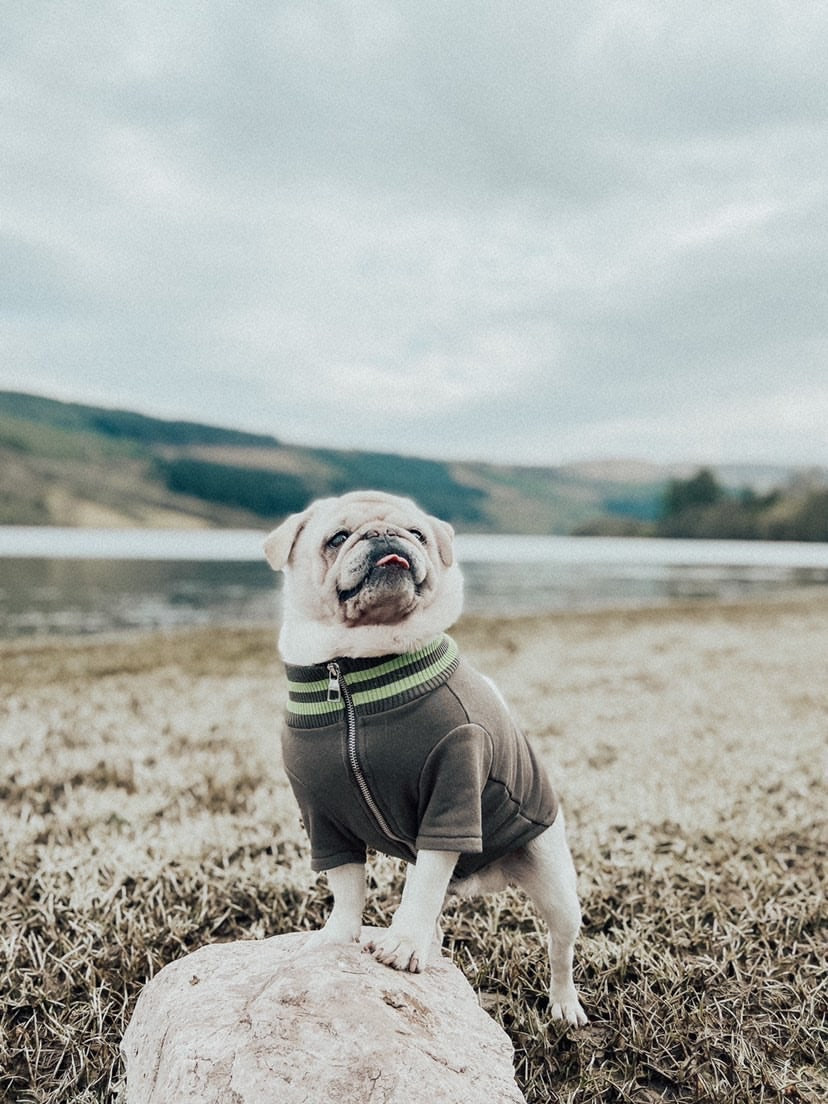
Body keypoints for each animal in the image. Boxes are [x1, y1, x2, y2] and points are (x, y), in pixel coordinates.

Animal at [266, 492, 591, 1024]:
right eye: (338, 538)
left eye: (417, 534)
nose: (384, 534)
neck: (356, 671)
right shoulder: (321, 815)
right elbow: (346, 884)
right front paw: (338, 937)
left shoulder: (451, 791)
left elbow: (421, 886)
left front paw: (401, 947)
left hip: (555, 884)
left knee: (559, 947)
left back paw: (564, 1004)